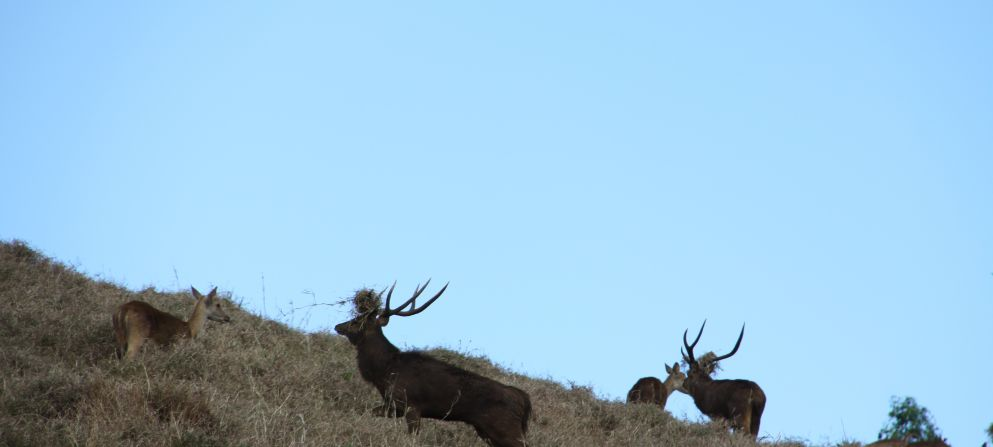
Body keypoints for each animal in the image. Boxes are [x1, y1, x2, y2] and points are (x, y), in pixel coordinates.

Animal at [336, 284, 536, 447]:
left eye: (356, 320)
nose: (338, 326)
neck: (384, 370)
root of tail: (523, 399)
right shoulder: (393, 406)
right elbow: (365, 412)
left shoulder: (411, 405)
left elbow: (412, 438)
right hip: (487, 429)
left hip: (505, 426)